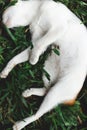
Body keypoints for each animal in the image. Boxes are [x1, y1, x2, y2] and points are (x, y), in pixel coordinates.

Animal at [0, 0, 87, 130]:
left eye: (2, 15)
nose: (2, 25)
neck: (35, 13)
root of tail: (73, 98)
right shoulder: (36, 40)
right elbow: (18, 57)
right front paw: (6, 70)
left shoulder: (58, 28)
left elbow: (41, 42)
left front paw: (33, 60)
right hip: (48, 70)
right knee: (46, 89)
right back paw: (29, 92)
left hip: (57, 91)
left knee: (38, 114)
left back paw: (20, 124)